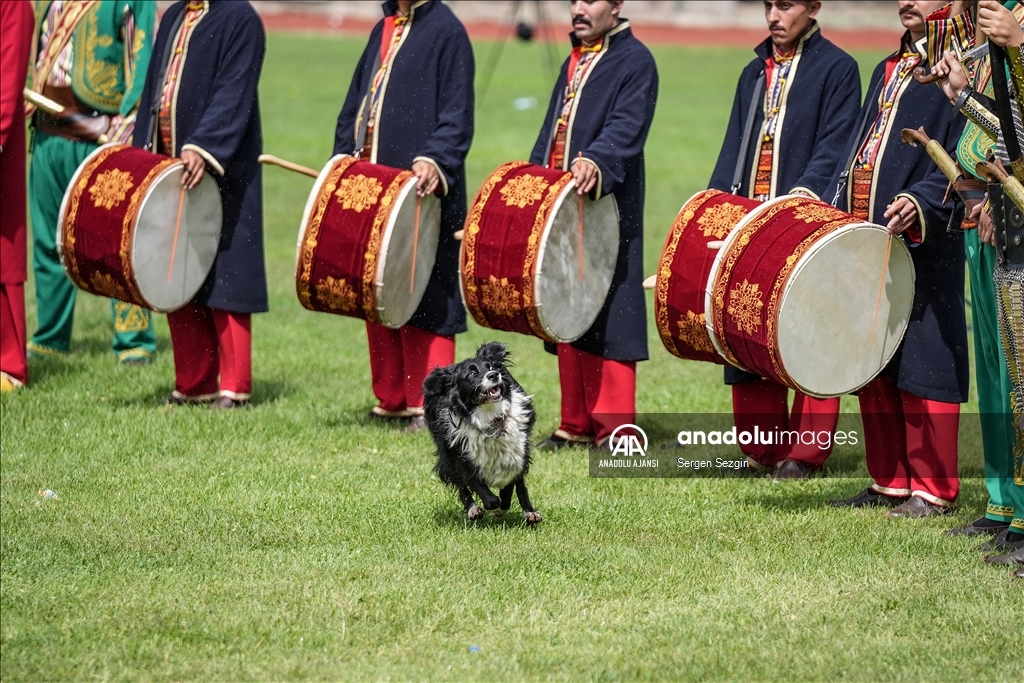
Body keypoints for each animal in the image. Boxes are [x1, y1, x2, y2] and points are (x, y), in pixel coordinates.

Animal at [419, 342, 544, 524]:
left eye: (490, 367)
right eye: (472, 373)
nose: (494, 375)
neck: (490, 417)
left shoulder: (518, 452)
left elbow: (512, 485)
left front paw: (510, 508)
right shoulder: (460, 452)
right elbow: (483, 492)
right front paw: (491, 507)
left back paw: (529, 513)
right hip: (447, 454)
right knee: (461, 485)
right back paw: (473, 509)